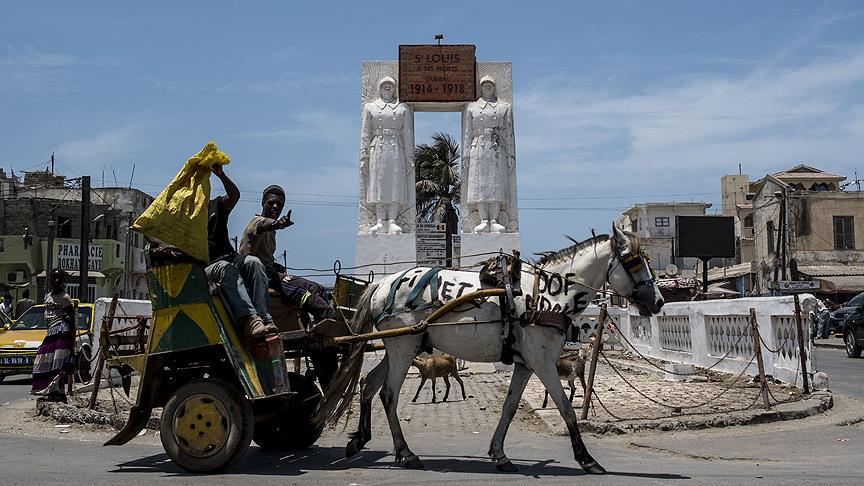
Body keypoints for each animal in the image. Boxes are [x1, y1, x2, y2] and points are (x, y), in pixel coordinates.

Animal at [320, 224, 664, 474]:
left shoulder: (526, 364)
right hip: (403, 345)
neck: (547, 296)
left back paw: (359, 440)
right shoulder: (542, 363)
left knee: (368, 384)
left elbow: (509, 407)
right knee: (389, 394)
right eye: (634, 261)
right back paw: (406, 453)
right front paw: (586, 459)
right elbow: (566, 407)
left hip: (404, 345)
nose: (659, 302)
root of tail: (381, 283)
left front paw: (499, 454)